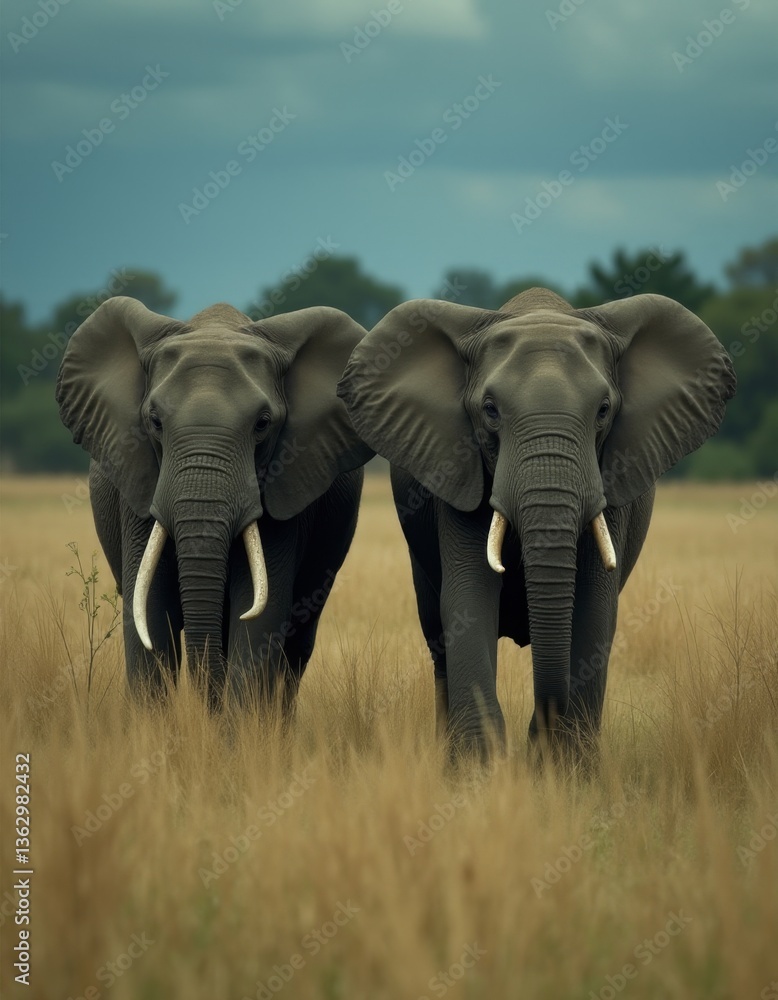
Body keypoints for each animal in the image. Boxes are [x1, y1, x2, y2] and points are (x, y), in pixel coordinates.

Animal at [57, 297, 374, 707]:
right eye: (154, 421)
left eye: (263, 424)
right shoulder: (139, 481)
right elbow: (150, 611)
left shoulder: (284, 491)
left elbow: (260, 614)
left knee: (298, 641)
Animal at [337, 288, 735, 756]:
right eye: (490, 410)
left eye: (603, 410)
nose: (539, 732)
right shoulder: (458, 472)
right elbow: (468, 597)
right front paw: (480, 769)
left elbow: (595, 607)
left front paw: (565, 766)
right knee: (437, 636)